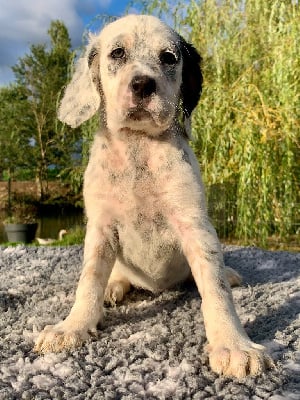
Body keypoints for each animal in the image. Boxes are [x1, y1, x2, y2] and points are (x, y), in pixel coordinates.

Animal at [34, 14, 274, 378]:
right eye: (117, 53)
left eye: (169, 58)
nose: (143, 85)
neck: (139, 146)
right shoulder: (101, 229)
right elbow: (89, 281)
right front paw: (73, 326)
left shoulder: (195, 227)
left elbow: (214, 289)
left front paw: (233, 344)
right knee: (115, 276)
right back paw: (114, 287)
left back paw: (230, 275)